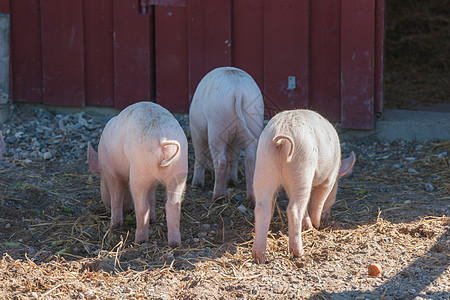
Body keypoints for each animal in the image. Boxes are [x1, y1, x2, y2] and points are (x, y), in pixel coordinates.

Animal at [88, 101, 188, 246]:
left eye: (101, 184)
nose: (106, 210)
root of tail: (162, 140)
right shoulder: (153, 182)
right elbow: (151, 196)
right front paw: (153, 220)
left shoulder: (110, 172)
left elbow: (116, 196)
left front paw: (114, 225)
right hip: (179, 171)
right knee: (173, 205)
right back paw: (174, 243)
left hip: (139, 170)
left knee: (142, 207)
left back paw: (139, 240)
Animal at [189, 67, 264, 205]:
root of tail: (238, 91)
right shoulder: (235, 140)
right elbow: (233, 157)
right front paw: (232, 182)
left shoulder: (196, 130)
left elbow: (200, 155)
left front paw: (196, 186)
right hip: (254, 120)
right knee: (250, 159)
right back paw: (251, 200)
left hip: (217, 125)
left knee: (221, 160)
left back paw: (217, 197)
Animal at [253, 109, 356, 262]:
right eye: (336, 192)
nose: (327, 217)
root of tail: (282, 134)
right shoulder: (329, 178)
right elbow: (319, 200)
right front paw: (316, 225)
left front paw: (309, 226)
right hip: (303, 166)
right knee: (294, 209)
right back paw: (299, 253)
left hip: (264, 164)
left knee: (262, 209)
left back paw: (258, 257)